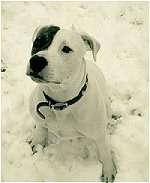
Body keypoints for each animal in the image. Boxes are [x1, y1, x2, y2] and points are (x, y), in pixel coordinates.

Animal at [25, 25, 117, 182]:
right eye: (38, 42)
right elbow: (40, 131)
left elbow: (105, 152)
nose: (36, 61)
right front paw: (37, 144)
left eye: (66, 49)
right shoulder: (40, 119)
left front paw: (108, 171)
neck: (60, 103)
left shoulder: (99, 135)